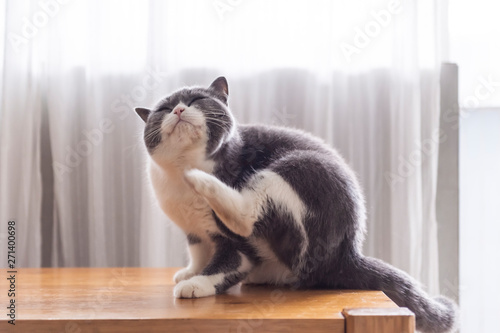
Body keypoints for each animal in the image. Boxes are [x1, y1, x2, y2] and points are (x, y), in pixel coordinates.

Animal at [135, 76, 458, 330]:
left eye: (197, 99)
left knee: (247, 216)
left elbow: (230, 261)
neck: (180, 173)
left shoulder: (236, 242)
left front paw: (196, 284)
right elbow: (199, 251)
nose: (178, 109)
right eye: (163, 109)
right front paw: (191, 271)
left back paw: (200, 181)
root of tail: (347, 252)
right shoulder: (195, 231)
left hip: (300, 166)